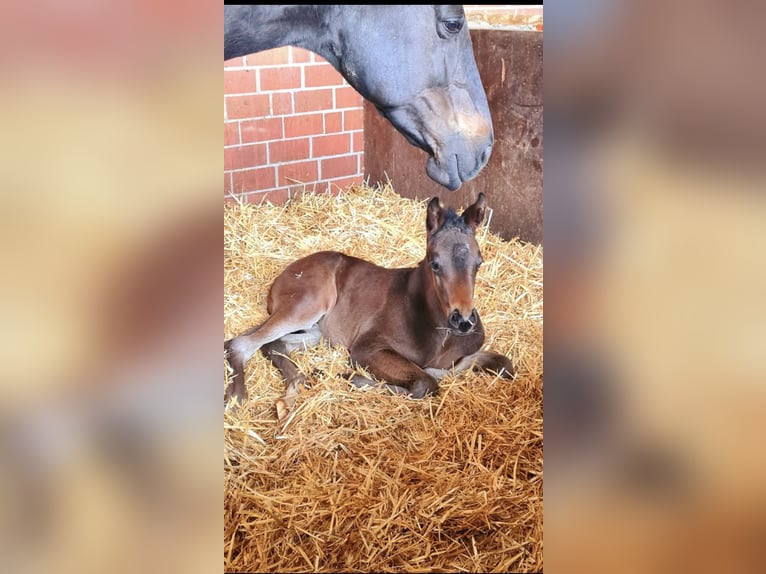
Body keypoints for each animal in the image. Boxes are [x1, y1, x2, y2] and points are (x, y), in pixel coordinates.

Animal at [225, 195, 520, 424]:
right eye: (435, 263)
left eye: (479, 262)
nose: (464, 320)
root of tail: (283, 275)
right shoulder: (367, 348)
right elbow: (425, 383)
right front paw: (348, 376)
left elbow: (504, 366)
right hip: (306, 305)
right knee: (240, 343)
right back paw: (238, 397)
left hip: (316, 331)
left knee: (272, 345)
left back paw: (293, 390)